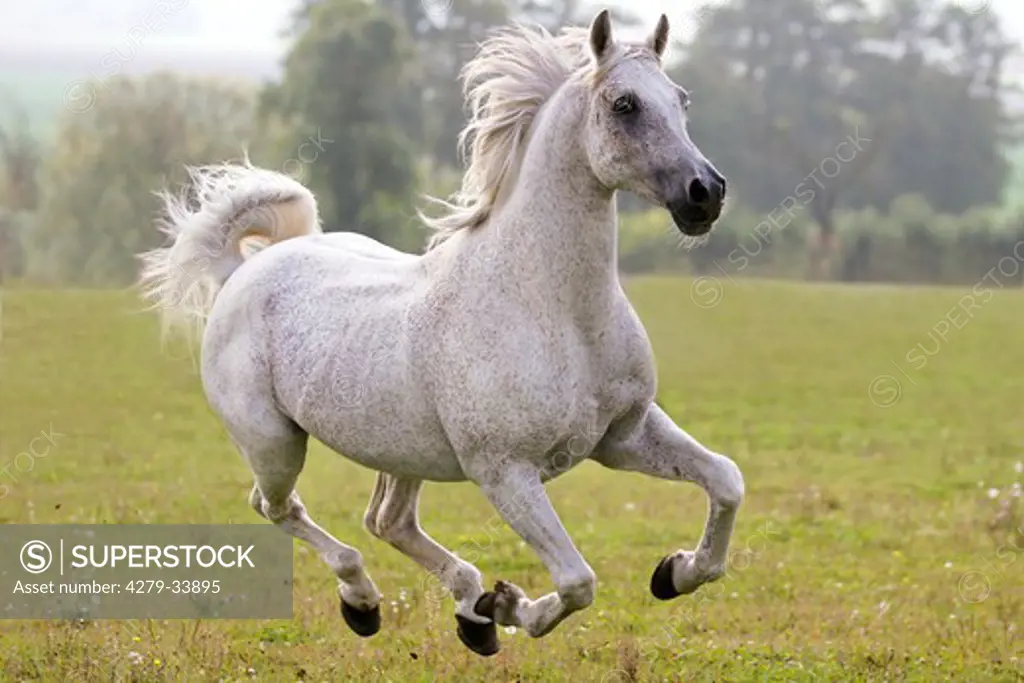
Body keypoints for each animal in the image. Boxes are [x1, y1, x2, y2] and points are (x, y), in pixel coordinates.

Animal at [138, 6, 745, 655]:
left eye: (681, 99)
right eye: (624, 104)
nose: (706, 194)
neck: (557, 313)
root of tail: (240, 272)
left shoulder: (623, 435)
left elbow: (726, 480)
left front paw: (674, 573)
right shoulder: (504, 471)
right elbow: (578, 581)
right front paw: (512, 605)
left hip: (401, 450)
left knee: (389, 521)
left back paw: (467, 610)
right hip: (274, 443)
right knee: (279, 509)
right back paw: (368, 601)